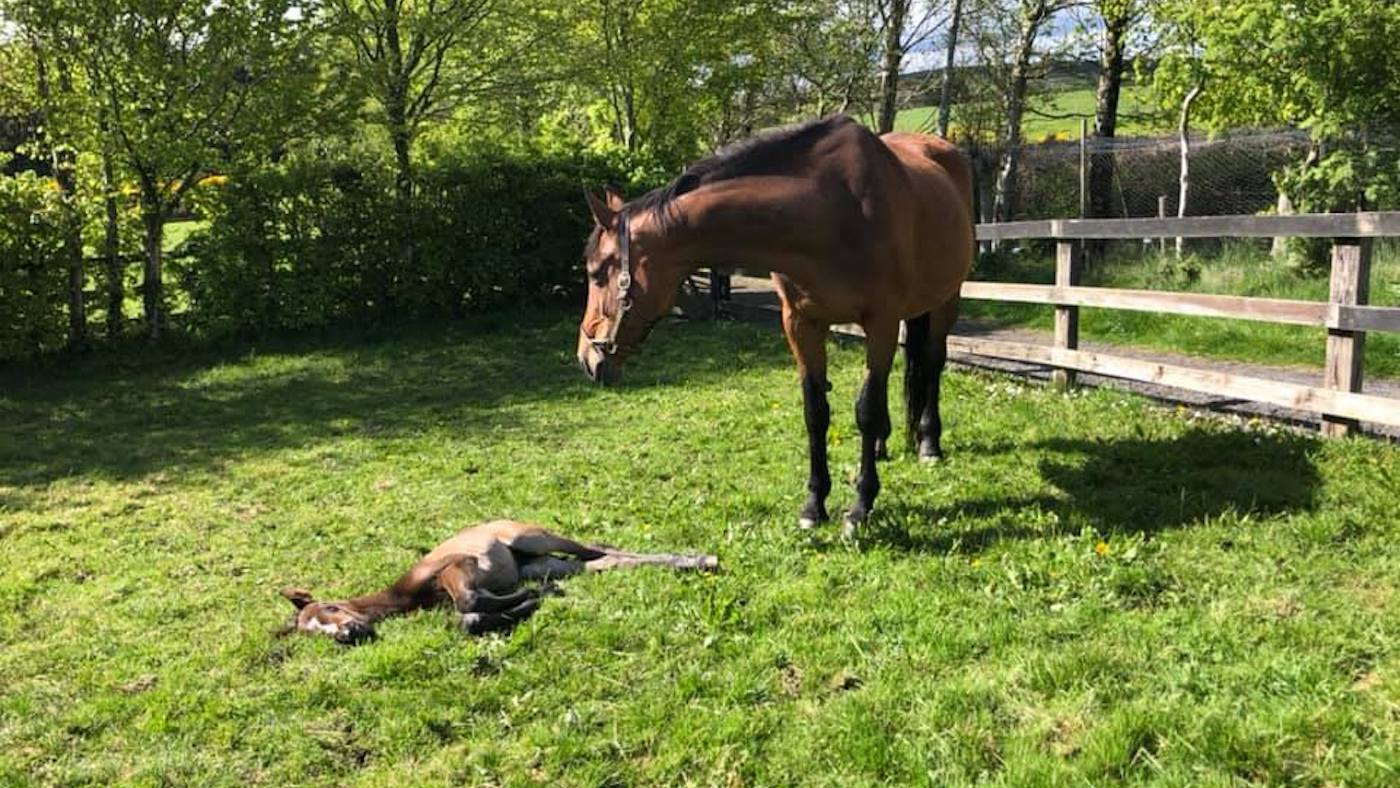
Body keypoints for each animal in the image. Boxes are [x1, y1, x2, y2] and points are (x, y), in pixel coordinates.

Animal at [278, 520, 718, 643]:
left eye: (332, 608)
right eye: (314, 633)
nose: (348, 634)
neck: (407, 596)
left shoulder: (458, 567)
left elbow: (469, 603)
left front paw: (531, 599)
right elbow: (468, 617)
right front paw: (530, 601)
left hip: (533, 538)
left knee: (595, 548)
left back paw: (702, 559)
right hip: (543, 563)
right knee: (603, 560)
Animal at [574, 115, 974, 532]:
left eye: (598, 273)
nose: (586, 357)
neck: (832, 210)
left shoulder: (879, 322)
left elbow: (865, 409)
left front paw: (860, 506)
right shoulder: (800, 323)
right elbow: (816, 412)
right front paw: (814, 504)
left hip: (946, 300)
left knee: (931, 363)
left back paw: (928, 443)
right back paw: (882, 445)